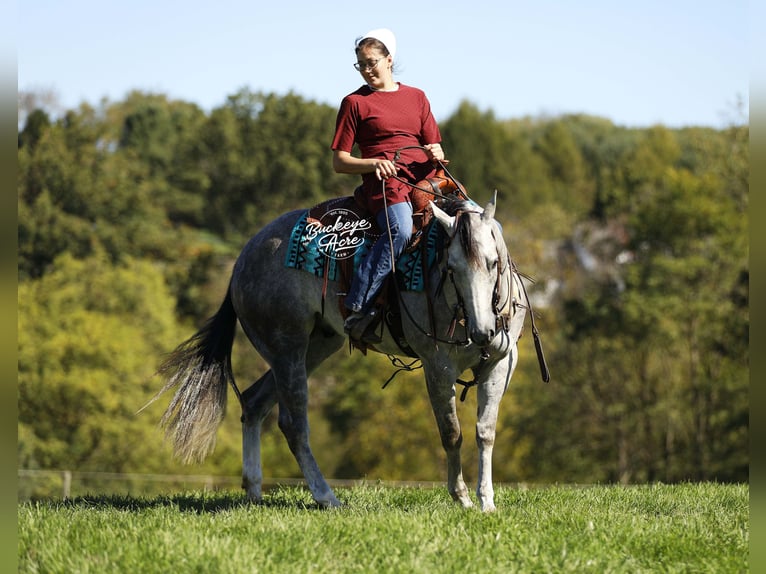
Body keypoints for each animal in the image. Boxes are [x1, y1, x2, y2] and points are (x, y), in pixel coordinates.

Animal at [146, 190, 533, 512]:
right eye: (450, 268)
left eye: (493, 262)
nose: (482, 331)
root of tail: (243, 259)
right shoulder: (437, 366)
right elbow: (452, 432)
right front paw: (461, 497)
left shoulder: (501, 363)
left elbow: (485, 431)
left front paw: (487, 501)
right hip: (287, 348)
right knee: (293, 424)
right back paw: (326, 497)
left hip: (318, 345)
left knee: (254, 402)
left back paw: (254, 491)